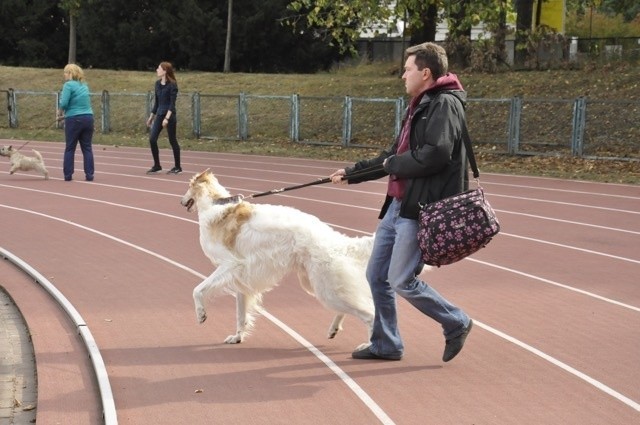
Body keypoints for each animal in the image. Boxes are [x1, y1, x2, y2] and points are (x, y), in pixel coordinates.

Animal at [180, 169, 376, 348]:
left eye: (188, 186)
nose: (180, 201)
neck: (214, 204)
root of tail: (339, 241)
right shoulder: (243, 280)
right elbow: (241, 315)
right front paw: (237, 337)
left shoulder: (230, 265)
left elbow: (197, 290)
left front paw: (201, 314)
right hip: (317, 285)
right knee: (350, 308)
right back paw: (334, 330)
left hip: (326, 287)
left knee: (370, 314)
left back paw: (369, 346)